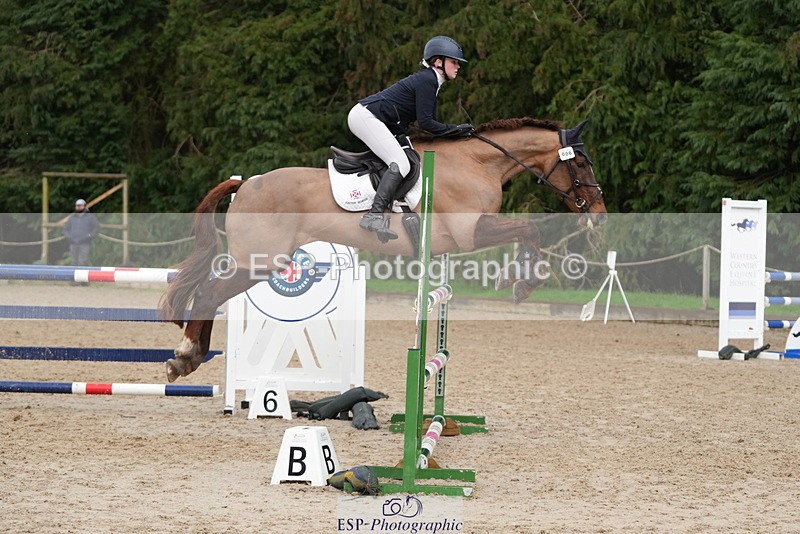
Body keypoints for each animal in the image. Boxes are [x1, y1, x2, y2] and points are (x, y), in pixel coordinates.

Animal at [158, 117, 607, 382]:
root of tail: (246, 183)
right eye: (581, 163)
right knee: (210, 292)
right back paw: (185, 356)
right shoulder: (472, 232)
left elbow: (527, 232)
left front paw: (521, 278)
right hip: (259, 261)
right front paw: (522, 281)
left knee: (211, 293)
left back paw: (190, 357)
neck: (478, 162)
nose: (600, 215)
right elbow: (529, 229)